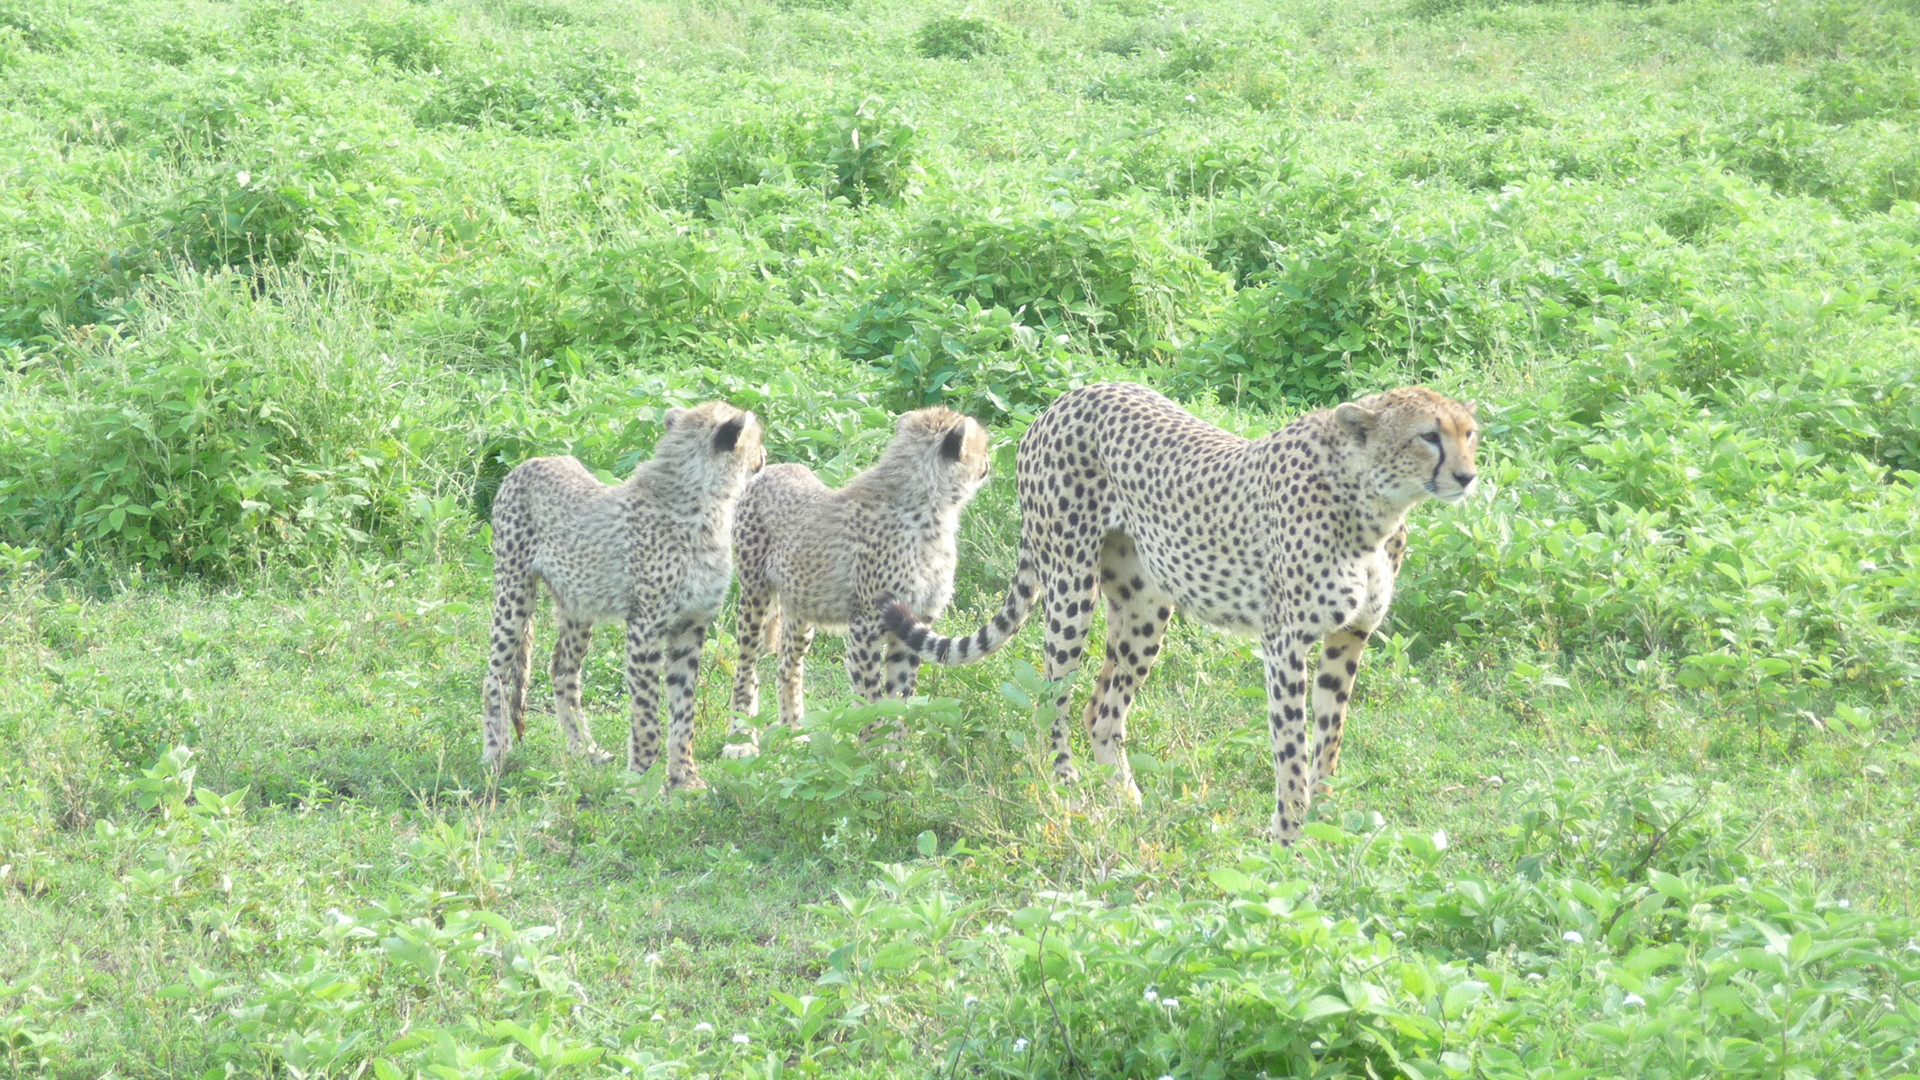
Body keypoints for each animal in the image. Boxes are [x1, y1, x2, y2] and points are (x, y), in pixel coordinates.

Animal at [480, 399, 764, 787]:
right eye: (756, 438)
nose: (764, 456)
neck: (706, 506)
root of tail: (530, 462)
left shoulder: (690, 625)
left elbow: (683, 711)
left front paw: (686, 779)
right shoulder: (645, 627)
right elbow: (646, 715)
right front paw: (641, 779)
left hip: (577, 606)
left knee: (563, 674)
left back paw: (585, 750)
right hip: (514, 593)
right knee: (494, 675)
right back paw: (494, 754)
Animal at [721, 401, 990, 749]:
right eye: (981, 446)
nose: (988, 463)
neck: (931, 513)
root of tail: (774, 467)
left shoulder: (912, 623)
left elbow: (899, 697)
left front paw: (895, 755)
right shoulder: (867, 624)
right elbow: (869, 697)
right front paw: (870, 748)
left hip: (802, 607)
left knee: (787, 666)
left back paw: (794, 732)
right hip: (755, 595)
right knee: (746, 665)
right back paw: (739, 739)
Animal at [879, 380, 1474, 841]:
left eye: (1470, 434)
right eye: (1428, 436)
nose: (1468, 476)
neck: (1375, 506)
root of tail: (1066, 398)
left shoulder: (1348, 638)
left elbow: (1329, 742)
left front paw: (1325, 829)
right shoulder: (1284, 645)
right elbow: (1292, 750)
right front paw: (1287, 839)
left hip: (1145, 605)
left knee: (1103, 709)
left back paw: (1127, 801)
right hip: (1071, 586)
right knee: (1053, 697)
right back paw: (1070, 792)